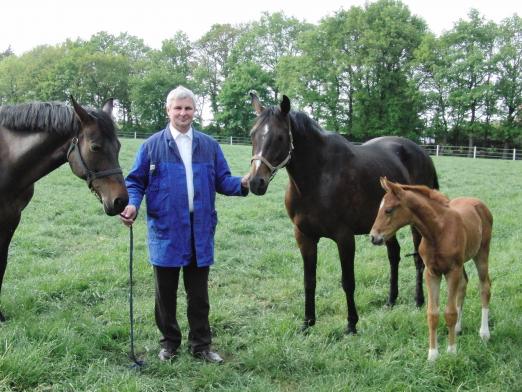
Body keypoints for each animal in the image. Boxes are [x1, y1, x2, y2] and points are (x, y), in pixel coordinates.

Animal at [246, 93, 436, 332]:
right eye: (252, 134)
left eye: (280, 137)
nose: (255, 182)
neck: (317, 178)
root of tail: (422, 153)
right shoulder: (304, 236)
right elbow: (309, 281)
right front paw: (308, 322)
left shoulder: (344, 237)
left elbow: (348, 281)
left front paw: (352, 324)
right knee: (394, 255)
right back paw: (391, 300)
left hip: (416, 223)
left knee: (419, 259)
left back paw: (419, 300)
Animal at [368, 178, 490, 362]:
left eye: (388, 210)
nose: (374, 237)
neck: (438, 232)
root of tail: (478, 202)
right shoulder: (431, 272)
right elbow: (432, 314)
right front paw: (432, 355)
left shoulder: (451, 271)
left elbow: (450, 312)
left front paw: (451, 351)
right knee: (464, 285)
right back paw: (458, 328)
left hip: (481, 254)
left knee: (485, 287)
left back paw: (484, 333)